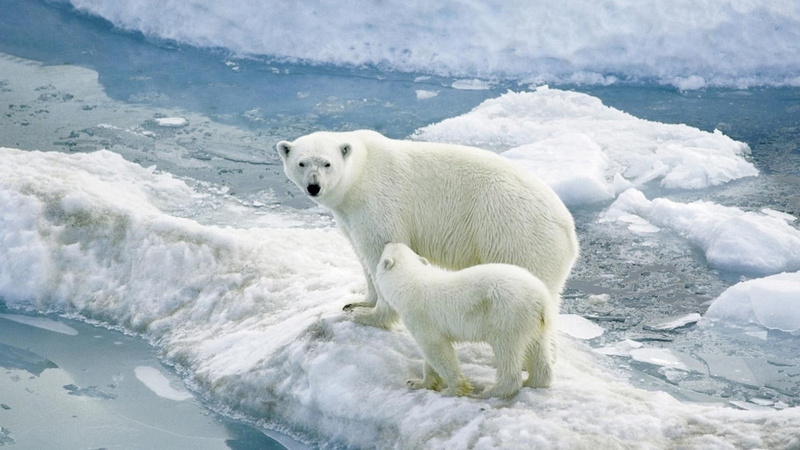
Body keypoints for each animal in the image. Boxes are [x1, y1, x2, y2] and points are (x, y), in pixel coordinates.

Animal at [275, 130, 578, 332]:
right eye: (302, 163)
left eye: (327, 163)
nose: (314, 186)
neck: (360, 173)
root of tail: (570, 232)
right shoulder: (349, 215)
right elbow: (361, 254)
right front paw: (358, 303)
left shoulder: (379, 203)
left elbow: (380, 250)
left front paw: (370, 317)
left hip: (516, 236)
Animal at [375, 242, 554, 397]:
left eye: (386, 250)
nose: (388, 242)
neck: (410, 282)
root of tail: (541, 298)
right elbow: (431, 356)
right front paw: (418, 383)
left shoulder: (420, 315)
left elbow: (436, 348)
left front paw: (454, 389)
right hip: (533, 321)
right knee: (537, 348)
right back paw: (533, 381)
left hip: (507, 314)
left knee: (506, 349)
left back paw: (491, 391)